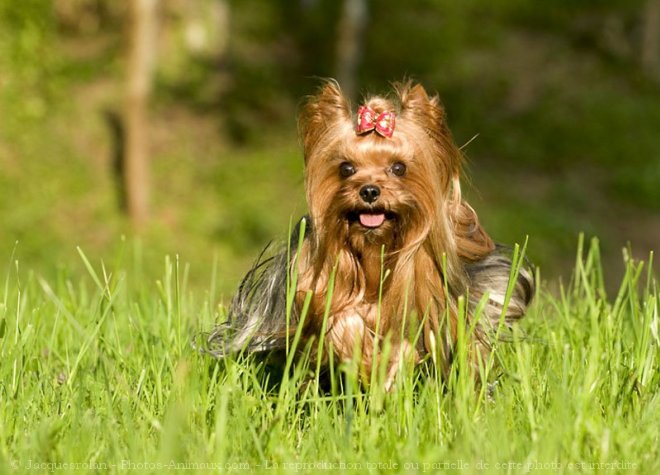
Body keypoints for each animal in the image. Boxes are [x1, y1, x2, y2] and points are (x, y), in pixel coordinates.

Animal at [204, 79, 532, 390]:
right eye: (346, 168)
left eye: (399, 168)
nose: (370, 191)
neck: (375, 249)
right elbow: (342, 319)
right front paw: (364, 361)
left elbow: (408, 342)